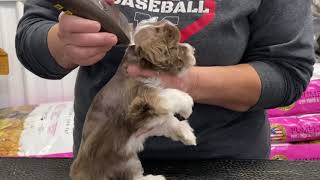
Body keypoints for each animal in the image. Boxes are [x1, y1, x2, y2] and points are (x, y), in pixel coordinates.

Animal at [70, 19, 198, 179]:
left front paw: (186, 134)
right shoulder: (143, 98)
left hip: (128, 158)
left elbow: (168, 121)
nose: (192, 49)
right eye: (174, 46)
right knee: (133, 177)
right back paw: (156, 178)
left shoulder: (148, 118)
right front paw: (187, 105)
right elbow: (170, 95)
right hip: (124, 162)